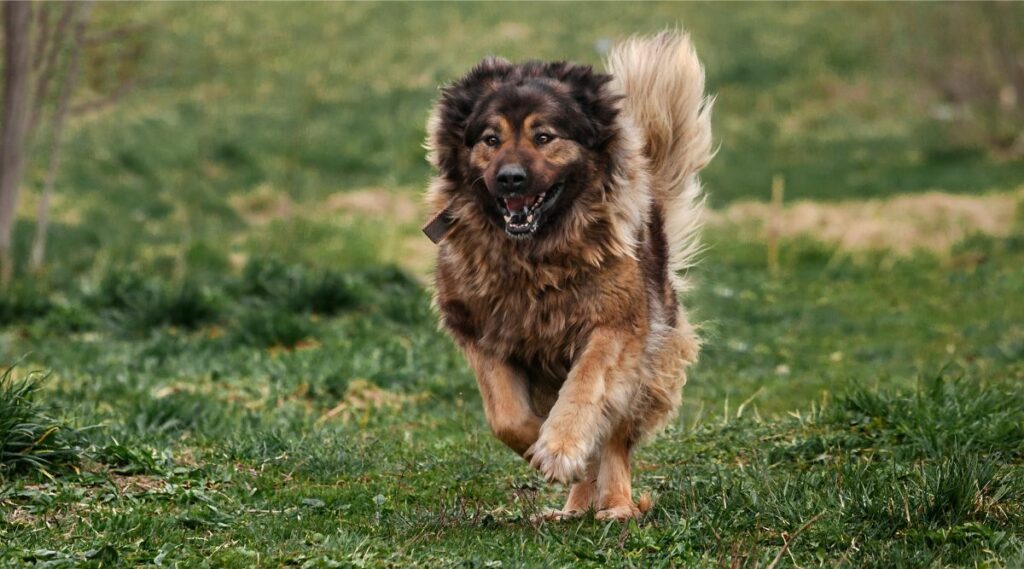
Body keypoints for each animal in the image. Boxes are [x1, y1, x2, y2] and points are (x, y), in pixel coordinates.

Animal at [423, 31, 712, 519]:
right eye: (490, 139)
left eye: (544, 137)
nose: (510, 179)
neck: (537, 254)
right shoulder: (482, 331)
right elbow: (506, 417)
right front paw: (542, 448)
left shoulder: (615, 326)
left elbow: (586, 389)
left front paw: (559, 448)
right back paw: (575, 507)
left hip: (646, 358)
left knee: (614, 437)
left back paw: (615, 504)